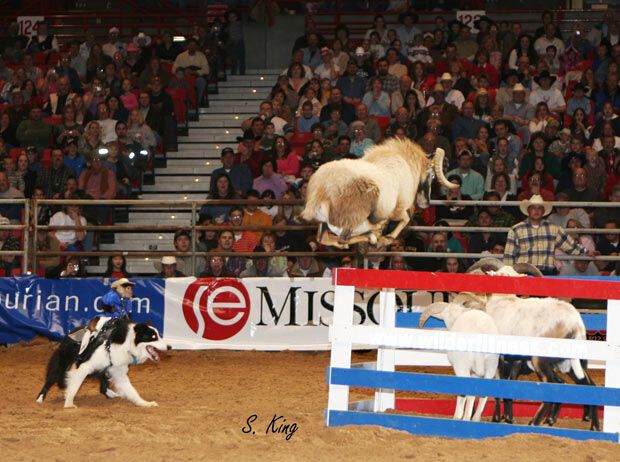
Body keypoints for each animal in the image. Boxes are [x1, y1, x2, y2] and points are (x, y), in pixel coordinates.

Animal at [36, 318, 172, 408]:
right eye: (153, 337)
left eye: (159, 335)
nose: (170, 347)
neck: (126, 343)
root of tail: (69, 332)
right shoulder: (84, 366)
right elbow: (74, 387)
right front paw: (69, 404)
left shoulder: (118, 372)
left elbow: (132, 391)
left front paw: (144, 403)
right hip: (60, 364)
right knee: (49, 381)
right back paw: (39, 399)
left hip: (104, 371)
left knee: (103, 388)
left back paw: (112, 394)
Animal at [300, 139, 456, 249]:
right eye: (432, 176)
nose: (426, 203)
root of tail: (321, 191)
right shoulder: (396, 210)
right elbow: (405, 219)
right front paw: (387, 238)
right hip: (352, 218)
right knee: (345, 237)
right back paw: (373, 236)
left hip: (325, 223)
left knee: (324, 239)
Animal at [458, 256, 600, 430]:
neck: (503, 301)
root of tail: (575, 324)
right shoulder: (514, 360)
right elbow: (509, 384)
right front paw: (508, 417)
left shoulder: (500, 358)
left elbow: (499, 385)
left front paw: (498, 418)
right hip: (570, 362)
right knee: (588, 386)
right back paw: (592, 426)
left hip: (540, 359)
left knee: (552, 384)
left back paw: (534, 422)